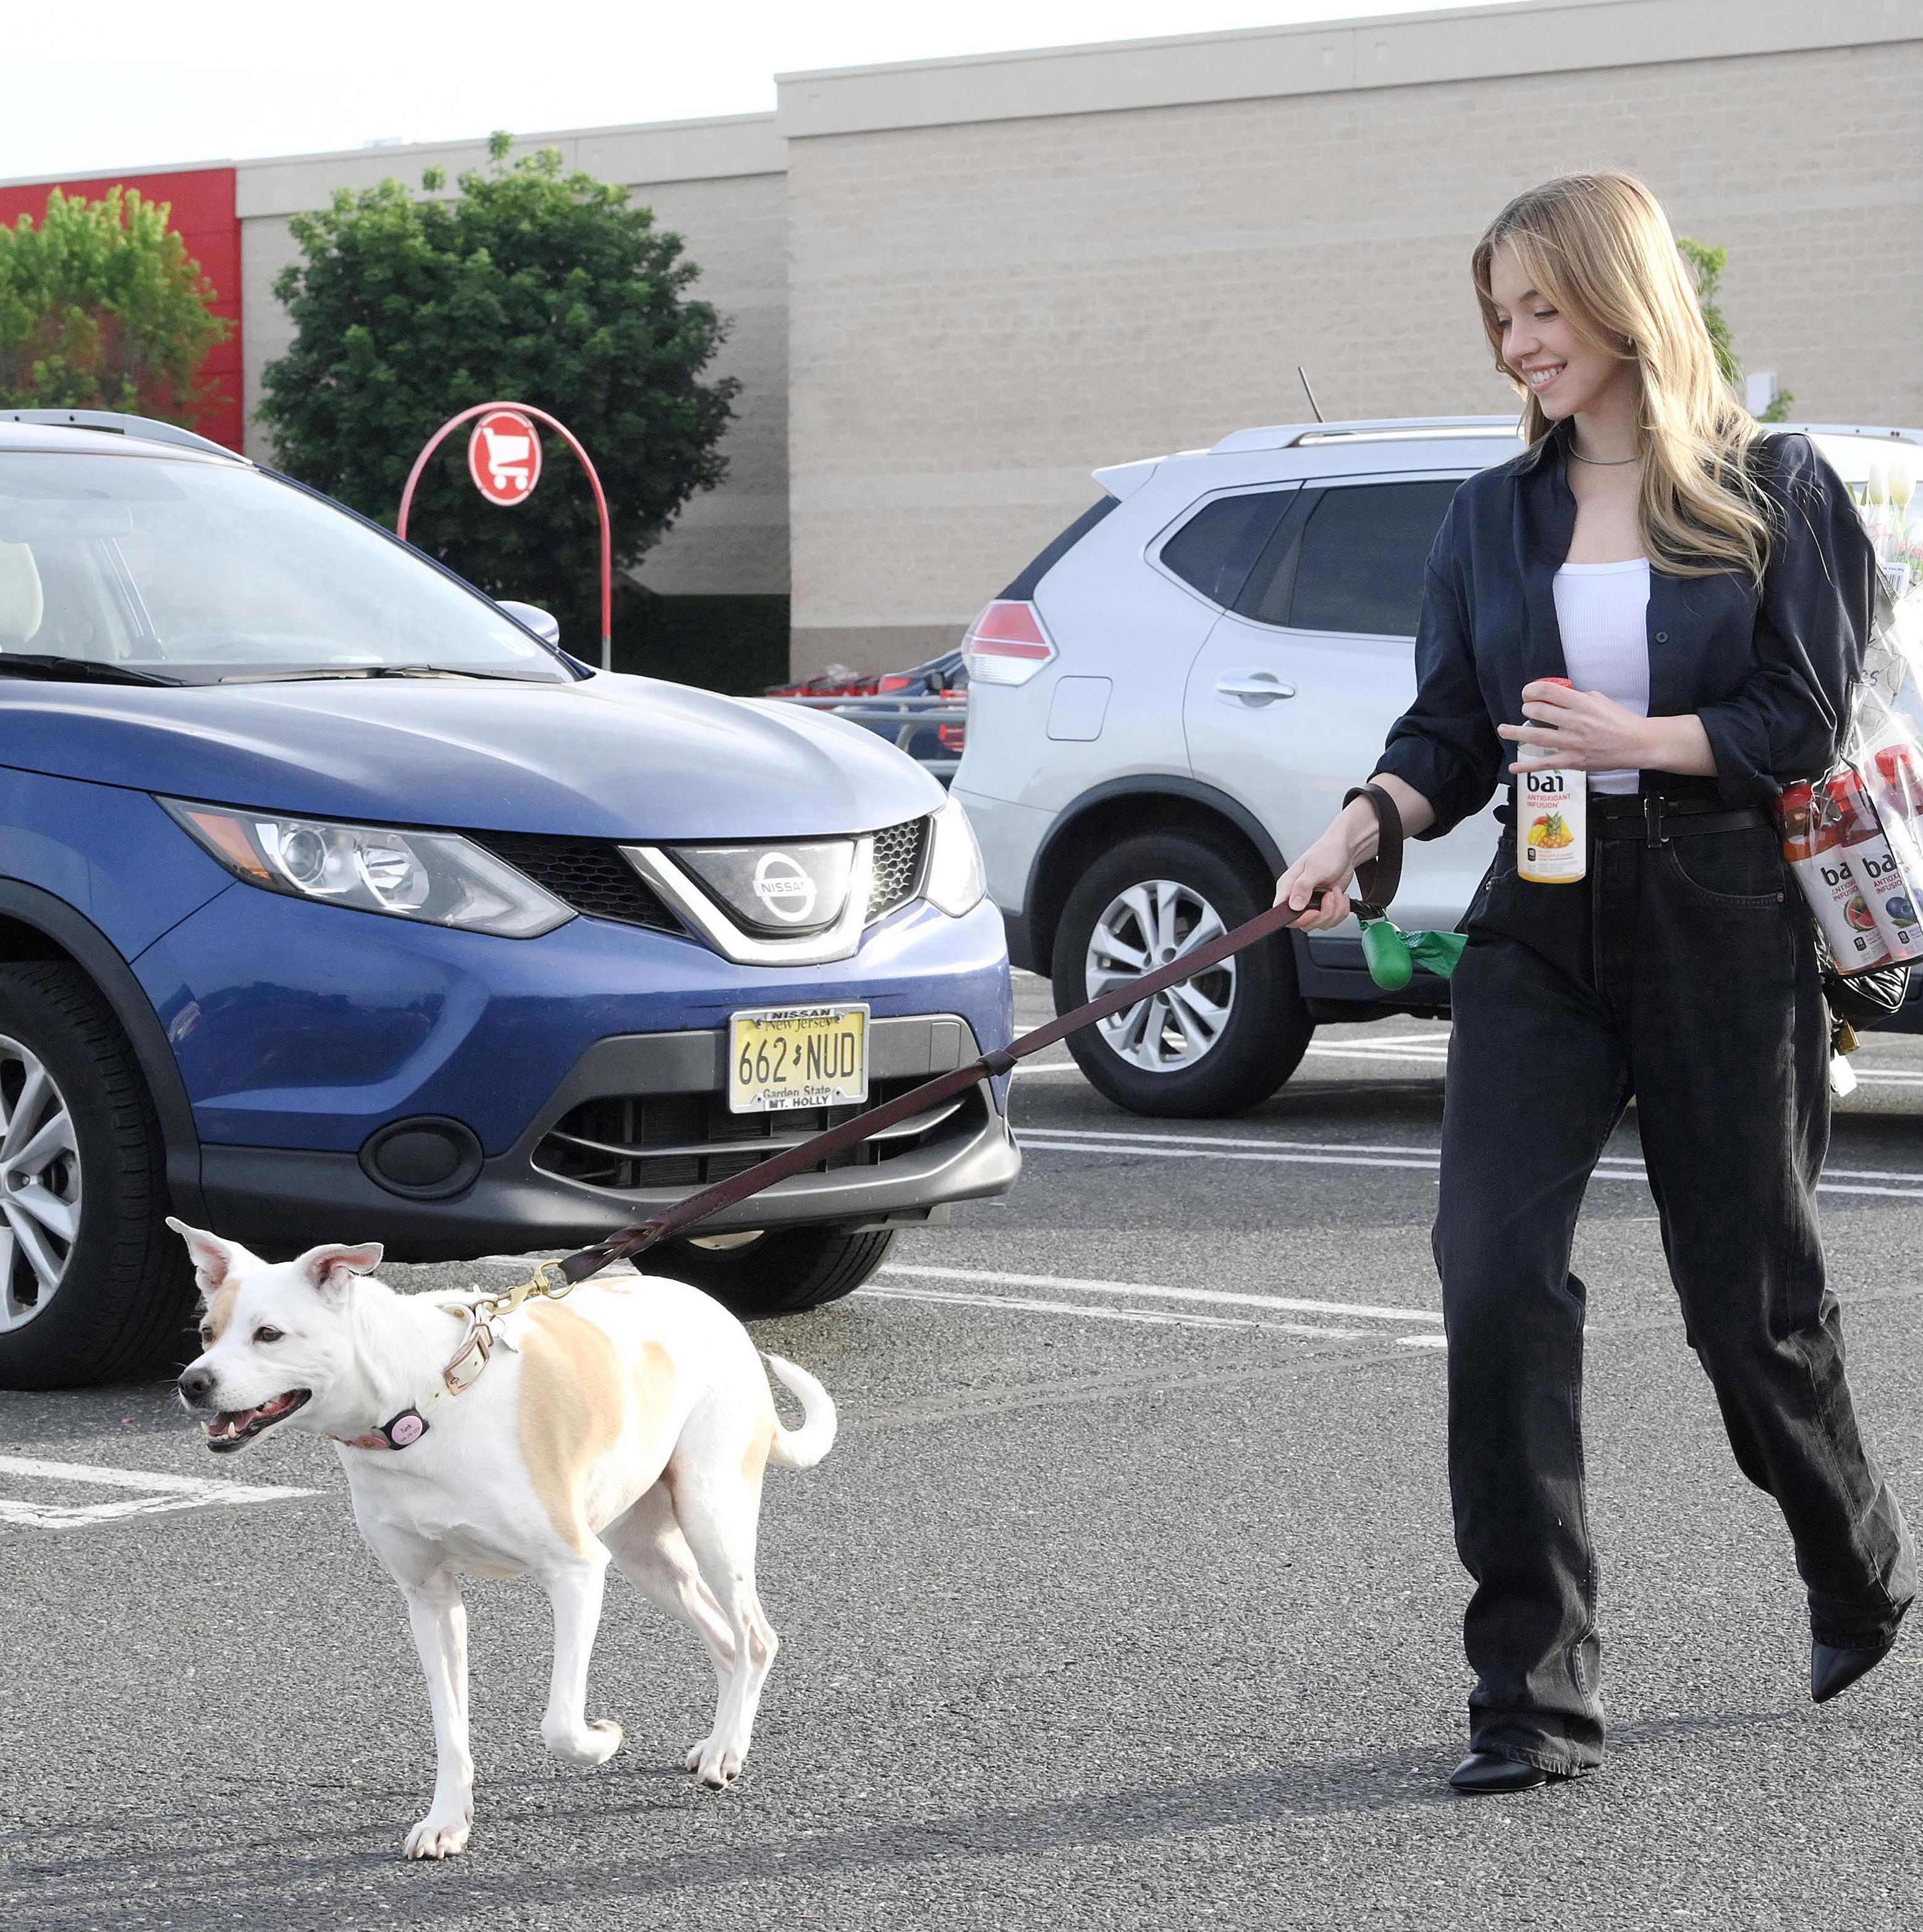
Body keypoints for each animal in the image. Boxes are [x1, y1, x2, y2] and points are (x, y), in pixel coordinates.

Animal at [165, 1221, 827, 1854]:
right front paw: (447, 1821)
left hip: (711, 1515)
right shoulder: (430, 1599)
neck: (417, 1406)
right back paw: (716, 1742)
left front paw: (602, 1740)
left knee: (755, 1638)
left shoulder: (577, 1571)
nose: (193, 1382)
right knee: (726, 1640)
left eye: (269, 1334)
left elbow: (560, 1724)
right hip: (649, 1556)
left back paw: (727, 1751)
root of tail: (716, 1308)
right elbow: (450, 1727)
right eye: (206, 1333)